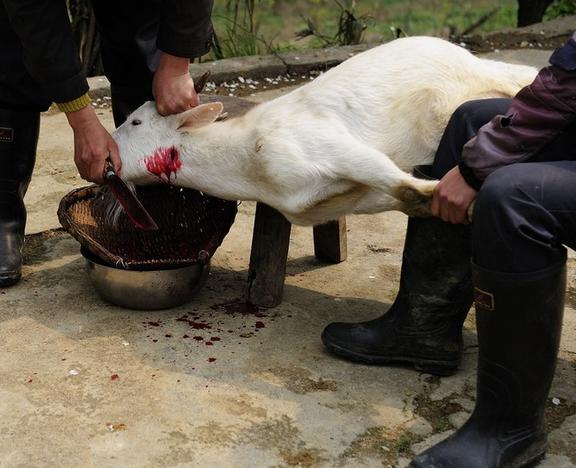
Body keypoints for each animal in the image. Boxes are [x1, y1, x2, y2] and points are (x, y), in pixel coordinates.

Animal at [113, 36, 540, 227]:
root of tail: (467, 57)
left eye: (135, 122)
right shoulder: (345, 200)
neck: (251, 163)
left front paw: (456, 195)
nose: (110, 147)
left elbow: (402, 183)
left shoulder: (330, 144)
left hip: (455, 99)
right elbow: (406, 198)